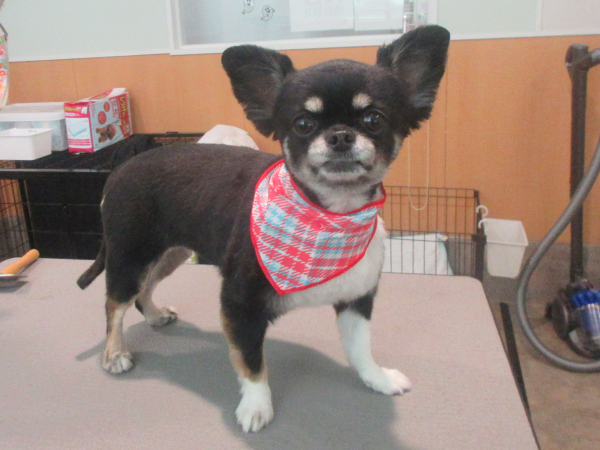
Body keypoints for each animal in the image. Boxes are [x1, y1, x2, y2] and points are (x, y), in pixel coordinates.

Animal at [77, 25, 450, 433]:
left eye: (374, 120)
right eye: (302, 124)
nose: (339, 135)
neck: (330, 217)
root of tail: (121, 169)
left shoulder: (356, 300)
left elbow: (360, 350)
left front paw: (377, 379)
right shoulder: (239, 306)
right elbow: (253, 365)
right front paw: (256, 407)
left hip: (169, 254)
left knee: (142, 291)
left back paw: (156, 314)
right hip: (131, 255)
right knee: (115, 303)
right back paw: (114, 353)